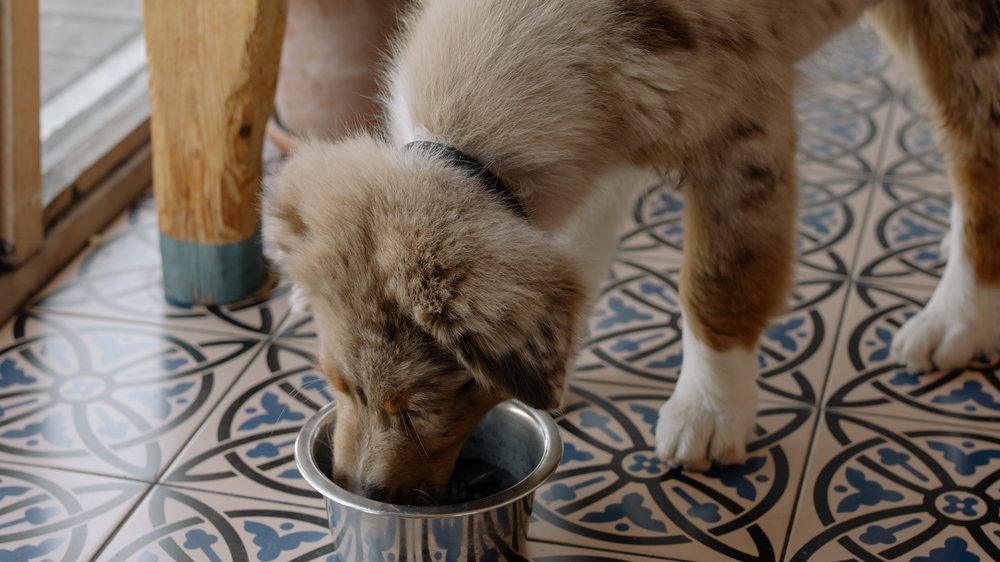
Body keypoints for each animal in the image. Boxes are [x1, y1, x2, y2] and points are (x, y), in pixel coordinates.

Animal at [266, 0, 1000, 498]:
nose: (359, 492)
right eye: (336, 384)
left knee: (976, 153)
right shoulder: (606, 134)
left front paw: (708, 411)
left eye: (415, 409)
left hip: (964, 29)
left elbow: (717, 281)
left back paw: (958, 318)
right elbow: (576, 253)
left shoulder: (742, 128)